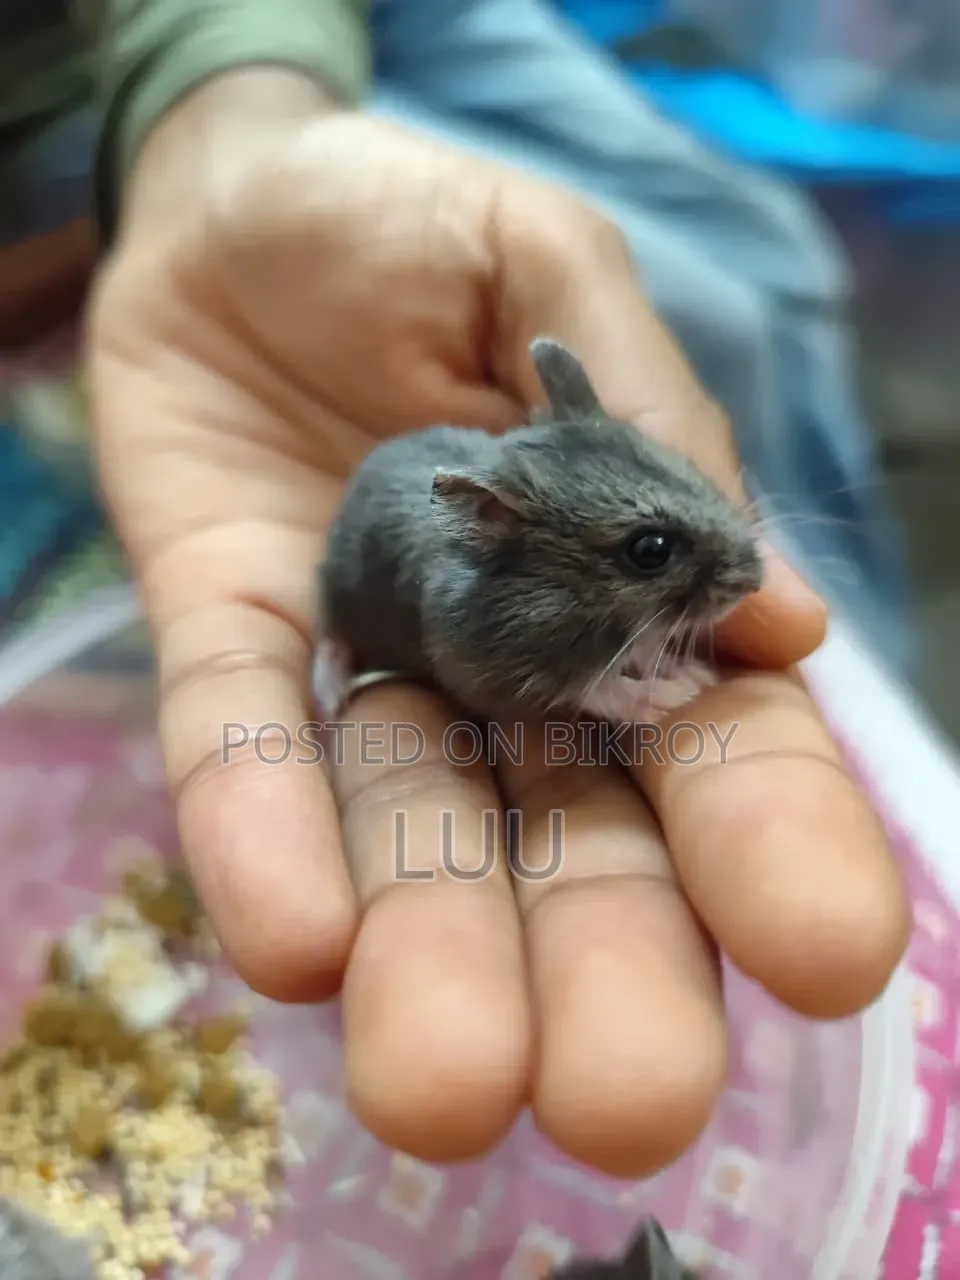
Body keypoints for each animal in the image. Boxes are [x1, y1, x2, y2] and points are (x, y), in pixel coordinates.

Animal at [316, 337, 763, 723]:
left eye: (692, 468)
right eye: (651, 550)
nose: (756, 580)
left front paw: (692, 673)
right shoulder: (494, 671)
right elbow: (596, 690)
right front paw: (675, 695)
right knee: (329, 637)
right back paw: (329, 704)